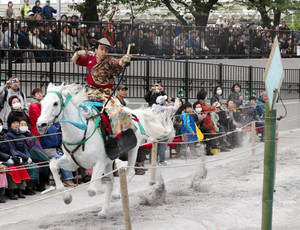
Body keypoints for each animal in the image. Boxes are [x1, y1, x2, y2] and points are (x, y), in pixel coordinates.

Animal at [37, 83, 173, 218]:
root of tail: (135, 113)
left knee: (129, 172)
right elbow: (53, 165)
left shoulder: (99, 163)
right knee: (112, 180)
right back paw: (103, 211)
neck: (80, 133)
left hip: (133, 150)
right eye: (42, 103)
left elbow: (92, 190)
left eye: (55, 103)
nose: (40, 125)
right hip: (109, 161)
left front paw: (101, 188)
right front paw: (67, 198)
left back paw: (116, 195)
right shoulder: (72, 163)